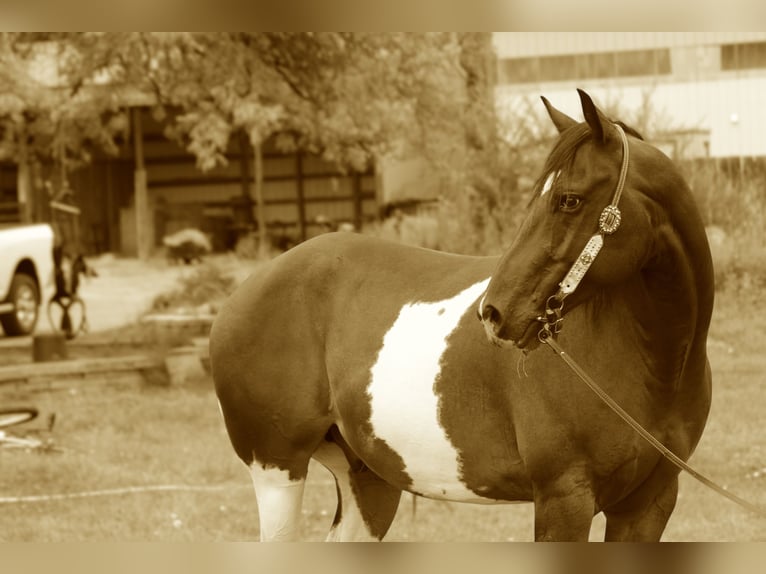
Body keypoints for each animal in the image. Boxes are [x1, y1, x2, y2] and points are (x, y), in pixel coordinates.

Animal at [209, 89, 714, 541]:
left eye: (569, 199)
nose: (494, 313)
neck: (648, 366)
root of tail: (240, 294)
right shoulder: (564, 501)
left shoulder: (648, 505)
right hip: (278, 472)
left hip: (368, 478)